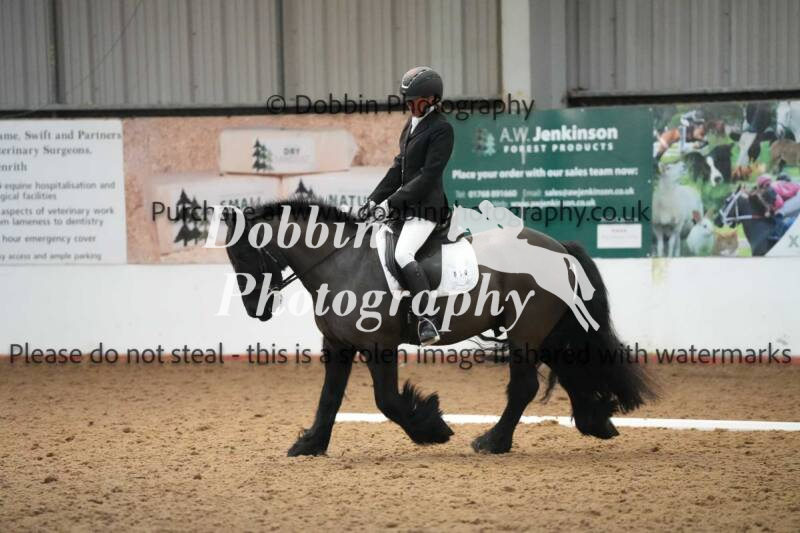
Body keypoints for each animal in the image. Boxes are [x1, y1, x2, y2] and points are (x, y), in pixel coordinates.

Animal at [222, 198, 655, 456]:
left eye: (244, 253)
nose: (256, 309)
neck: (340, 262)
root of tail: (560, 248)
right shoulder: (337, 344)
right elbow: (329, 398)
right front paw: (310, 444)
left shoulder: (379, 345)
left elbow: (387, 401)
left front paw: (431, 428)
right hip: (544, 331)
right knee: (567, 371)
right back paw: (596, 422)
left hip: (525, 331)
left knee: (524, 387)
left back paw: (492, 441)